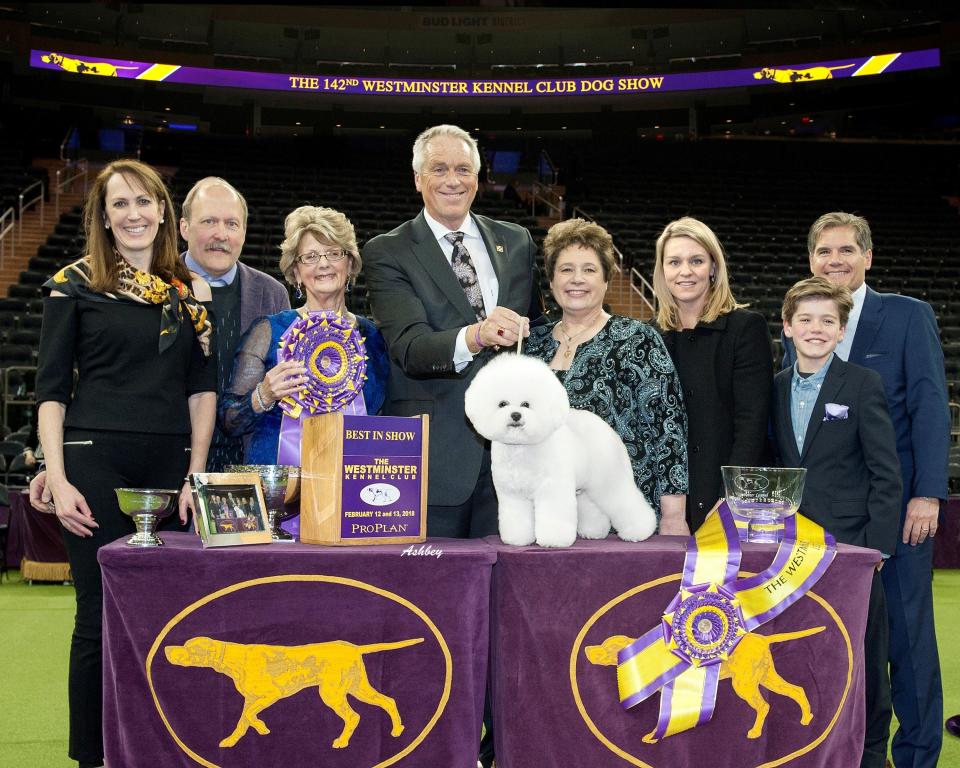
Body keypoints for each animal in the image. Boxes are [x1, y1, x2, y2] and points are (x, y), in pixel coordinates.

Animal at [464, 354, 660, 544]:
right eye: (502, 404)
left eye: (526, 404)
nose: (516, 415)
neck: (521, 448)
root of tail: (609, 430)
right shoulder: (512, 494)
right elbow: (517, 519)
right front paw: (518, 540)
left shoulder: (552, 488)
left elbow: (554, 515)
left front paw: (553, 540)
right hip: (587, 488)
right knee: (593, 507)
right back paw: (593, 533)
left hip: (608, 479)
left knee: (625, 502)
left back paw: (639, 532)